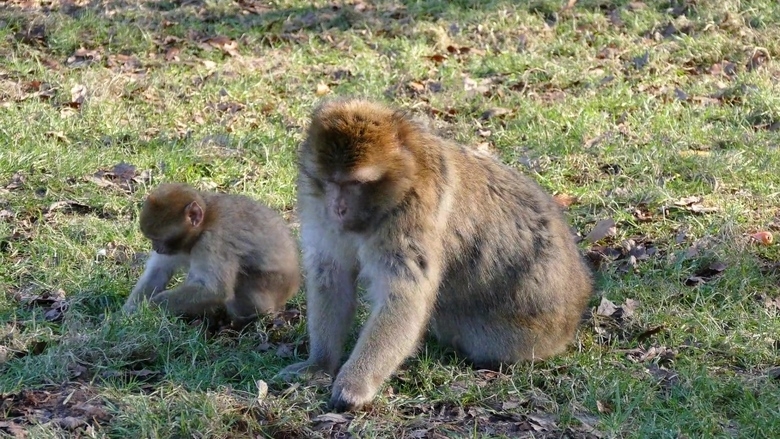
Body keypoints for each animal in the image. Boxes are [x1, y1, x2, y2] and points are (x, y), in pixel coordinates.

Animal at [278, 98, 596, 410]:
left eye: (355, 183)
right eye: (331, 182)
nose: (339, 208)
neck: (394, 192)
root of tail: (577, 306)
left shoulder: (412, 215)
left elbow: (404, 297)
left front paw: (356, 384)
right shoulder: (318, 205)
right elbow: (332, 276)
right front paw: (319, 364)